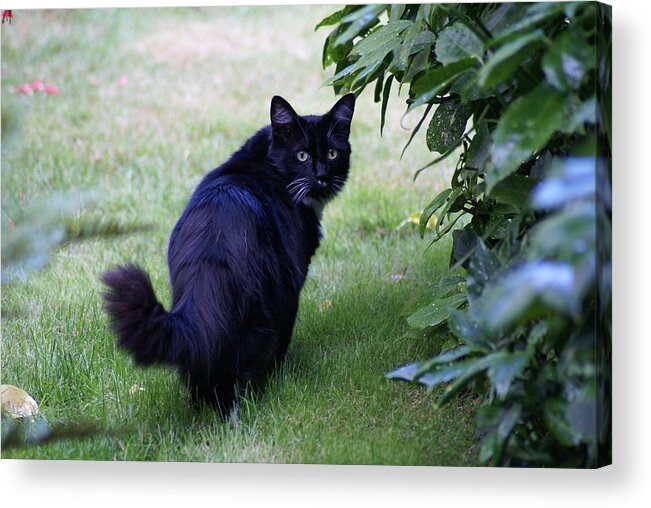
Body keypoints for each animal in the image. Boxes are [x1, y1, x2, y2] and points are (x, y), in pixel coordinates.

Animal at [102, 94, 356, 416]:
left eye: (333, 153)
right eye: (302, 155)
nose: (322, 176)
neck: (266, 162)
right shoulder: (292, 283)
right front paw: (282, 375)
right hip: (265, 308)